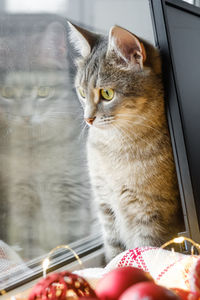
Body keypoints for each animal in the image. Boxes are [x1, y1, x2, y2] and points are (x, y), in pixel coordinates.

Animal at [0, 17, 91, 258]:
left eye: (43, 91)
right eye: (6, 92)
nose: (26, 115)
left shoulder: (74, 197)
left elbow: (72, 242)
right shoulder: (21, 202)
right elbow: (33, 249)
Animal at [69, 23, 184, 262]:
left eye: (107, 93)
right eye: (82, 92)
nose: (88, 118)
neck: (115, 148)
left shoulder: (150, 214)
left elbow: (145, 250)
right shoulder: (106, 207)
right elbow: (114, 251)